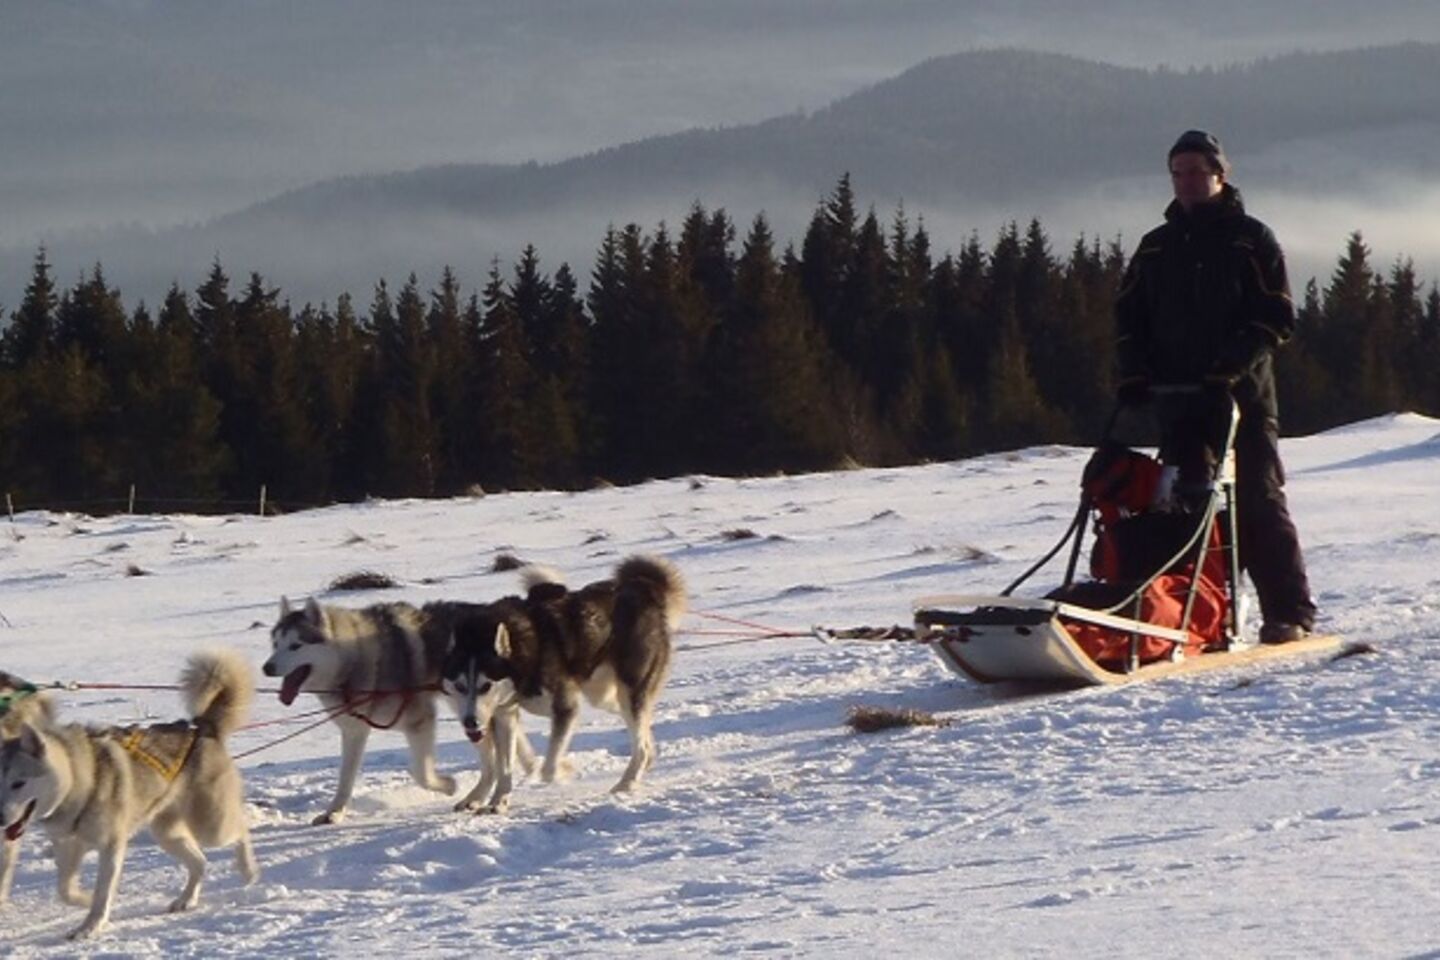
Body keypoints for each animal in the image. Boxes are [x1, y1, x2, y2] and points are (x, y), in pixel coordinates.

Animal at [0, 653, 256, 938]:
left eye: (18, 783)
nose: (0, 819)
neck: (80, 780)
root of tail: (202, 728)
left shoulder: (111, 846)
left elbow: (102, 892)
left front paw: (91, 925)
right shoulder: (69, 847)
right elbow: (65, 890)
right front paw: (85, 900)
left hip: (210, 825)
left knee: (241, 830)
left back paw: (248, 870)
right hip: (167, 834)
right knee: (200, 862)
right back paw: (186, 899)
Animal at [260, 595, 535, 823]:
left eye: (296, 645)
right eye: (275, 644)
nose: (266, 668)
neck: (354, 660)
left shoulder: (420, 721)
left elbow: (422, 773)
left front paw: (448, 785)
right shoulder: (354, 731)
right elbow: (345, 779)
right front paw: (334, 812)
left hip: (469, 712)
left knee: (493, 757)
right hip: (470, 713)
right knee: (493, 759)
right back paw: (481, 794)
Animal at [440, 555, 682, 811]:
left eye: (486, 685)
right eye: (460, 686)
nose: (470, 722)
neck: (524, 653)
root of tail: (645, 589)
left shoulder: (565, 708)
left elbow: (548, 766)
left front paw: (564, 770)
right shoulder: (505, 715)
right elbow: (505, 766)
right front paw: (499, 801)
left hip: (628, 690)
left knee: (641, 744)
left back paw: (626, 783)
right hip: (605, 696)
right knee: (643, 733)